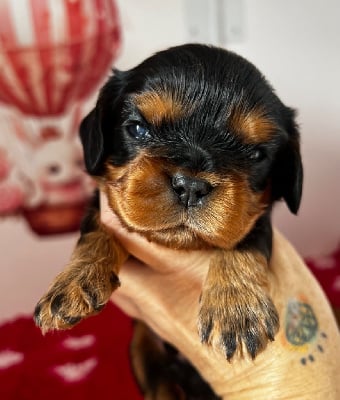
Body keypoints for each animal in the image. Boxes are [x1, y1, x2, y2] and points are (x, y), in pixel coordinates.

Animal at [34, 43, 302, 396]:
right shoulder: (100, 203)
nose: (190, 186)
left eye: (256, 154)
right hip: (142, 344)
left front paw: (237, 308)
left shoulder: (255, 216)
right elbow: (97, 230)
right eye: (138, 128)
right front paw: (74, 281)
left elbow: (244, 239)